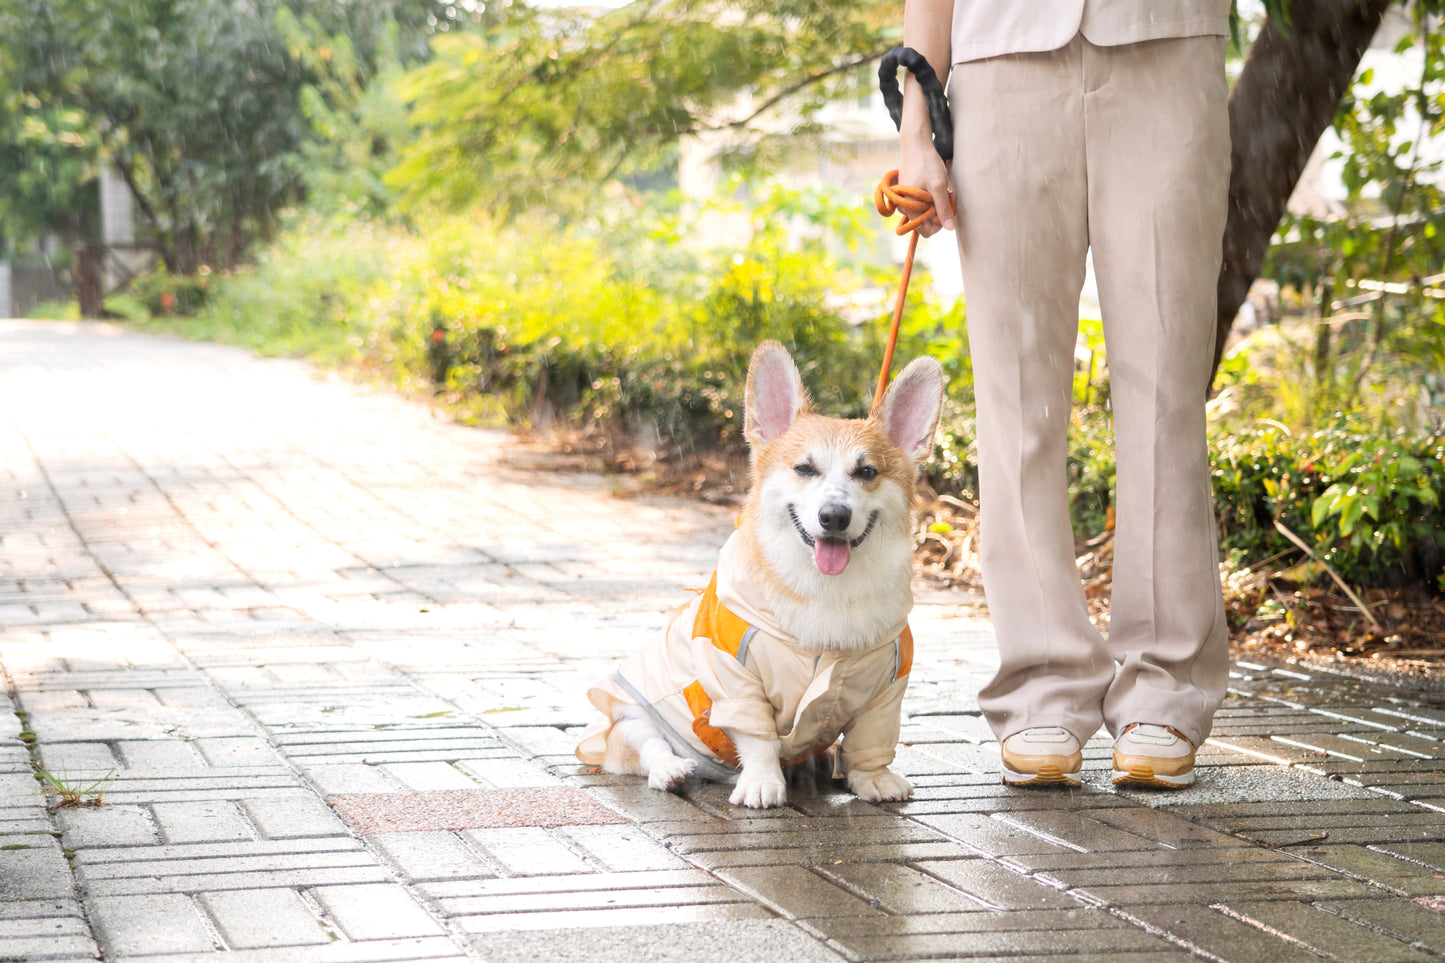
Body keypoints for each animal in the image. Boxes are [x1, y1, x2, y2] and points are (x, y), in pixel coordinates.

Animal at [575, 341, 947, 803]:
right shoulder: (735, 678)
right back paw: (672, 770)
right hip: (632, 710)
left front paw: (873, 777)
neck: (827, 591)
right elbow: (758, 737)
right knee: (645, 744)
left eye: (867, 472)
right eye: (804, 469)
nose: (834, 516)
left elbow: (871, 740)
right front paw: (762, 782)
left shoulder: (886, 688)